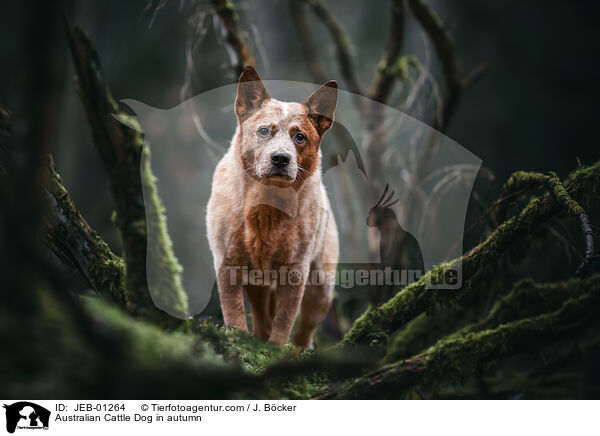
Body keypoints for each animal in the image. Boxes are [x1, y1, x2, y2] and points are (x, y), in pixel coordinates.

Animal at [205, 67, 338, 348]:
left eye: (299, 137)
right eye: (264, 131)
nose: (280, 158)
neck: (266, 205)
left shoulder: (296, 269)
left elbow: (284, 319)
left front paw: (277, 348)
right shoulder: (227, 262)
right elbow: (233, 311)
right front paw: (238, 340)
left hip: (322, 285)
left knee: (305, 328)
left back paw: (298, 349)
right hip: (258, 282)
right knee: (261, 315)